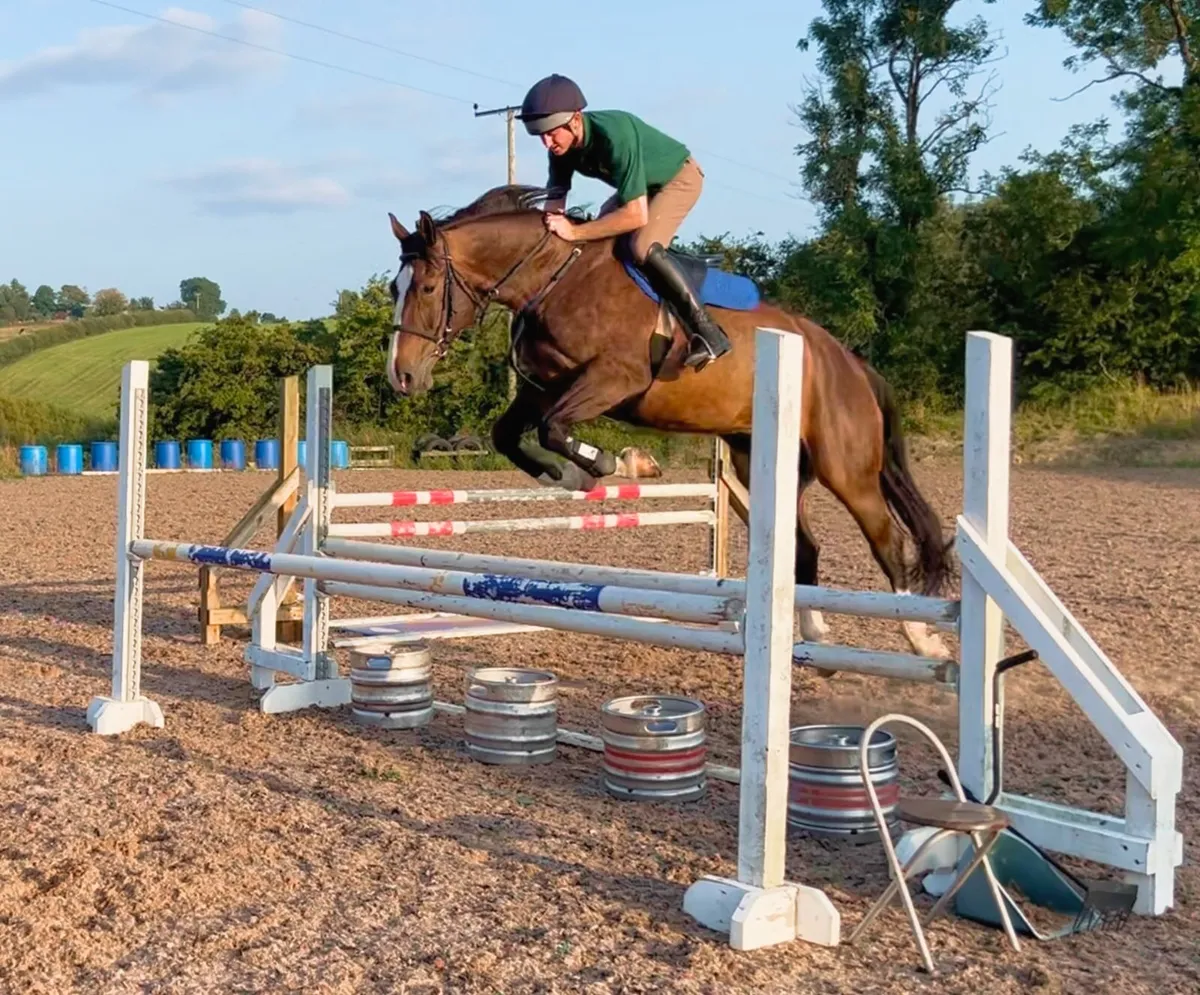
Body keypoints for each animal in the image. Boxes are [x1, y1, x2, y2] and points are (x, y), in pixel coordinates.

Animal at [384, 184, 954, 660]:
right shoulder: (540, 388)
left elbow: (554, 429)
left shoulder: (614, 380)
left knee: (887, 540)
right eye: (394, 288)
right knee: (804, 543)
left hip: (846, 468)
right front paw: (567, 475)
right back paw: (814, 632)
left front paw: (621, 464)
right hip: (760, 461)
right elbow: (510, 435)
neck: (556, 279)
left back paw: (921, 638)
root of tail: (847, 360)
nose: (402, 376)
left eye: (428, 287)